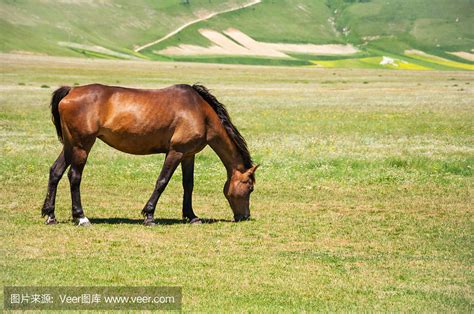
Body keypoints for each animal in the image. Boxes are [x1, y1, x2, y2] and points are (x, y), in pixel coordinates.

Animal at [42, 83, 260, 226]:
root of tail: (71, 90)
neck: (200, 112)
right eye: (249, 188)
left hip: (70, 145)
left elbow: (188, 185)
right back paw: (81, 217)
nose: (245, 217)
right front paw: (149, 215)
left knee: (55, 172)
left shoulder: (188, 155)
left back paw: (50, 215)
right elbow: (162, 181)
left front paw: (191, 216)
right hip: (82, 146)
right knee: (74, 176)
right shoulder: (175, 152)